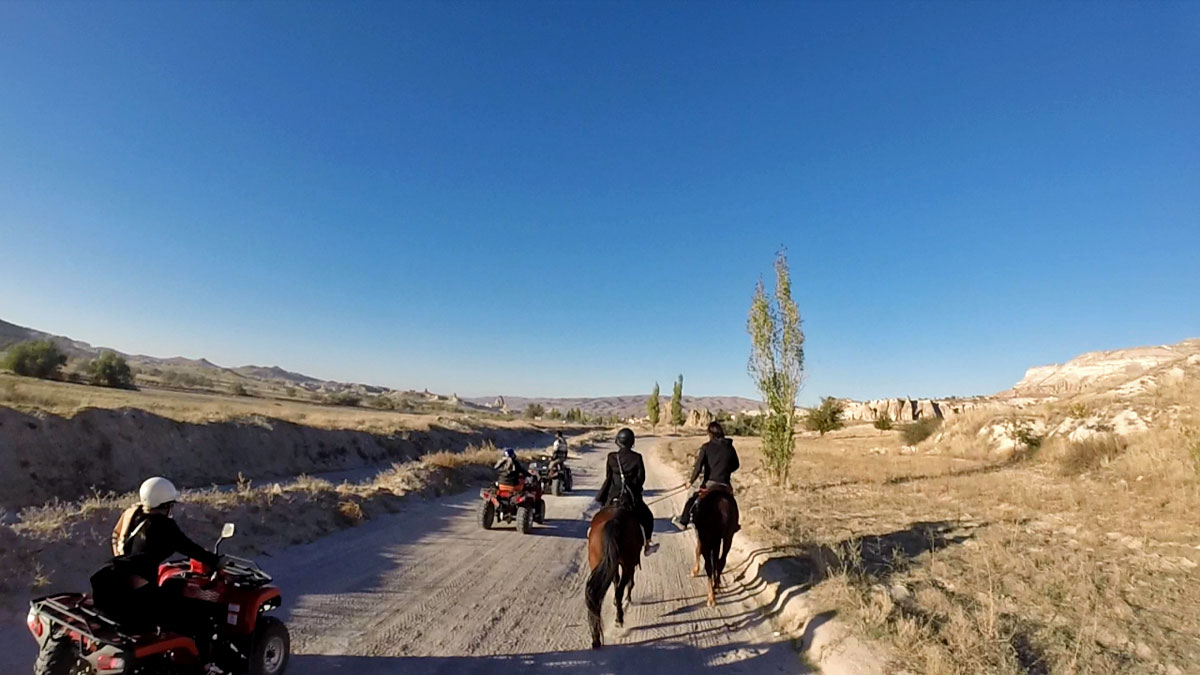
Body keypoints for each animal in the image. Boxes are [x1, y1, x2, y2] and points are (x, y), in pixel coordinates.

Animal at [583, 504, 643, 648]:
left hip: (598, 561)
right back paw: (619, 618)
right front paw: (627, 598)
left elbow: (615, 581)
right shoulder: (630, 563)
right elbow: (625, 583)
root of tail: (614, 521)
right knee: (620, 589)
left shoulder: (612, 564)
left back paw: (596, 638)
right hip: (628, 563)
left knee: (596, 597)